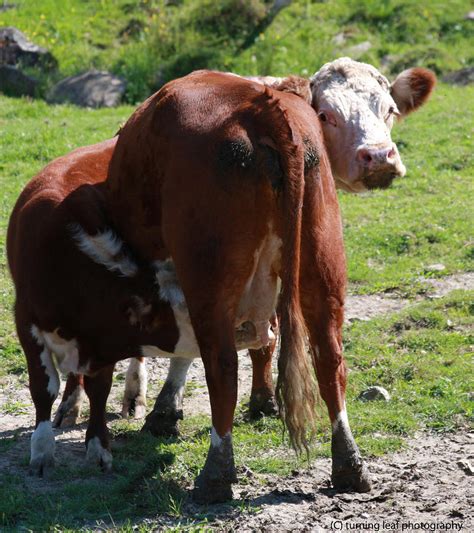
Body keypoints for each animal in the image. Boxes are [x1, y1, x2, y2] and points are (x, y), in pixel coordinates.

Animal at [8, 68, 370, 500]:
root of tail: (260, 106)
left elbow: (57, 380)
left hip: (209, 281)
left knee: (222, 366)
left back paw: (215, 473)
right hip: (320, 260)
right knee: (329, 356)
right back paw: (347, 462)